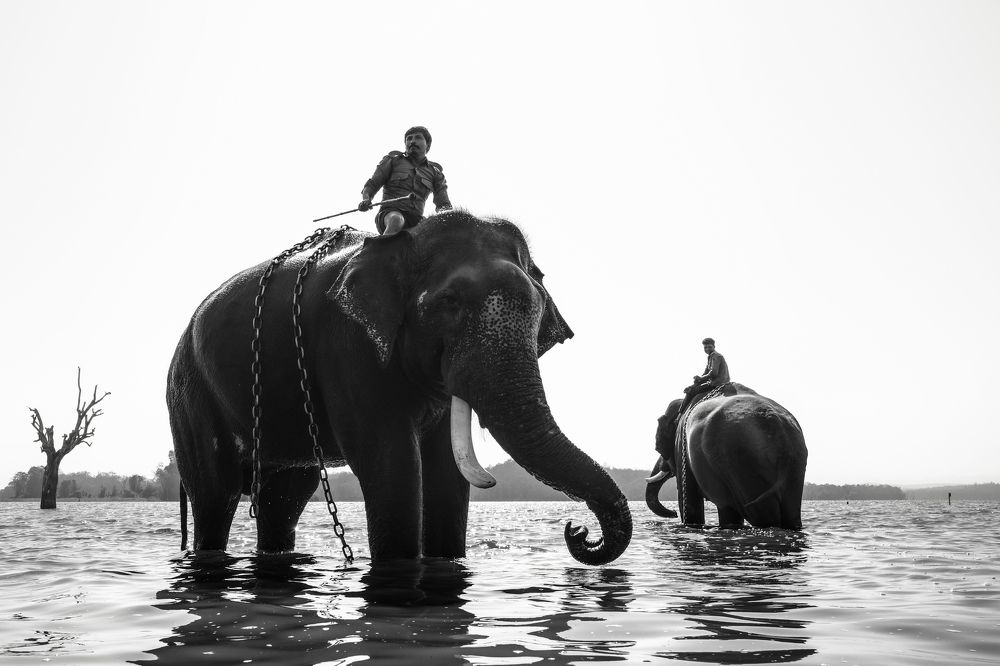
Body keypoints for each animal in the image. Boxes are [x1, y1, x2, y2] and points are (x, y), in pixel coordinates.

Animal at [166, 211, 631, 565]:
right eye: (448, 303)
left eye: (538, 311)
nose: (576, 530)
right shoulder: (348, 346)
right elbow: (391, 463)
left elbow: (446, 471)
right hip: (188, 395)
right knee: (216, 493)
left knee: (284, 498)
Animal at [645, 383, 807, 529]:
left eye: (658, 447)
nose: (673, 513)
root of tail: (780, 433)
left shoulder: (681, 445)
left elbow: (689, 500)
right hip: (795, 465)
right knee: (790, 514)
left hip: (740, 462)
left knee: (753, 514)